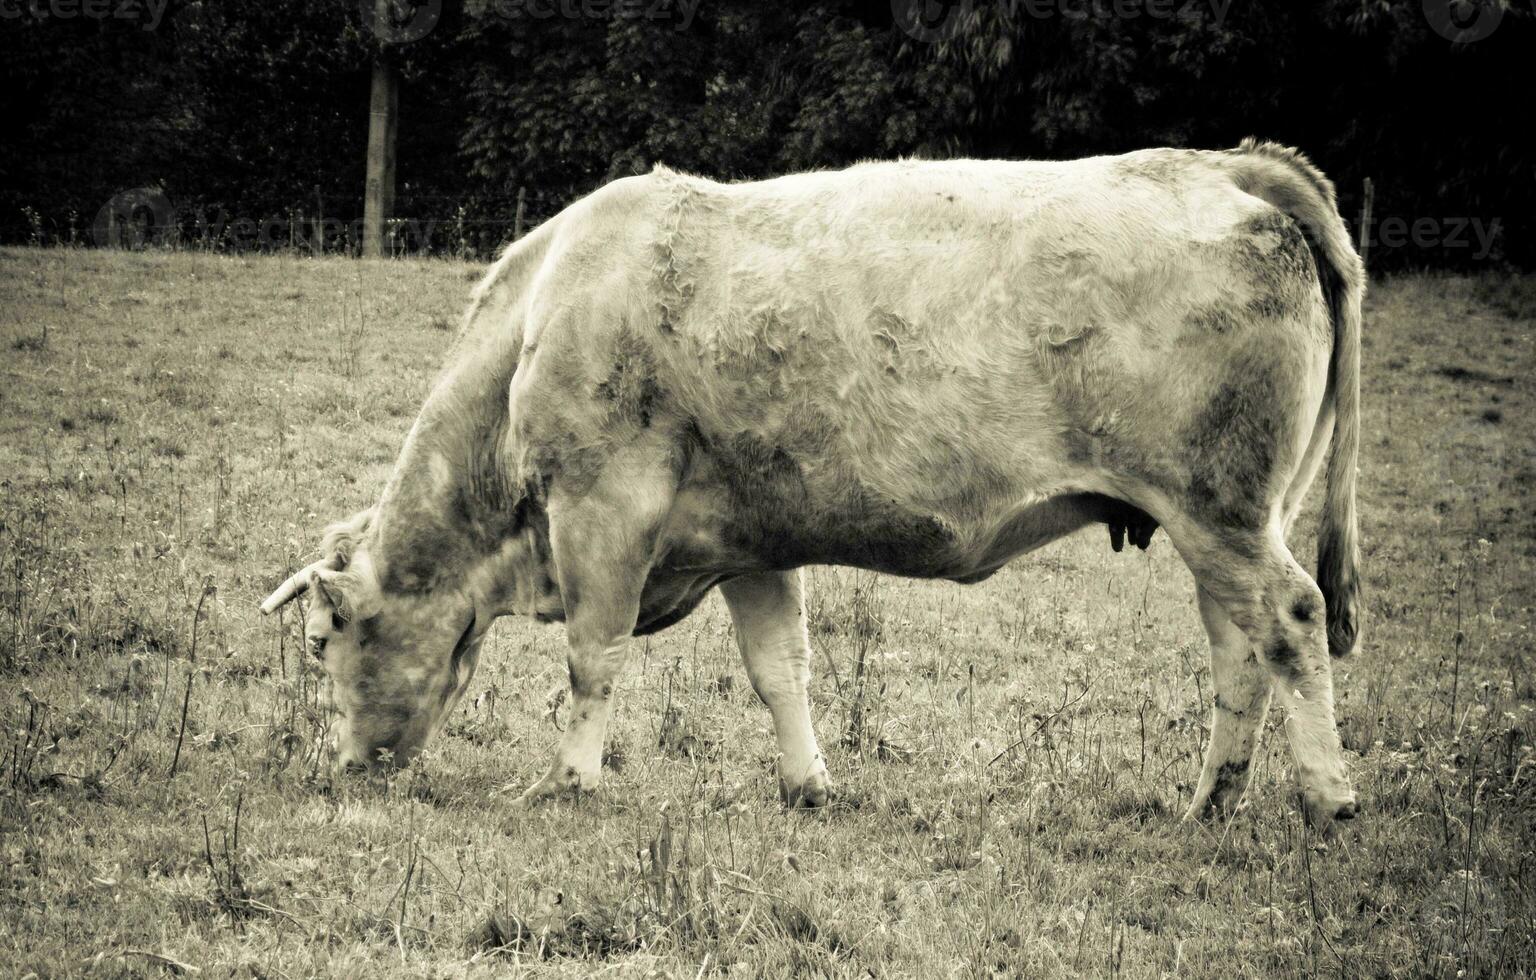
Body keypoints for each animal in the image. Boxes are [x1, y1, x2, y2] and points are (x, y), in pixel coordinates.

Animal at [258, 138, 1363, 823]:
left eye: (321, 642)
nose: (341, 770)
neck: (542, 317)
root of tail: (1230, 166)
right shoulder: (749, 538)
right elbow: (778, 667)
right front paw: (806, 784)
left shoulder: (603, 510)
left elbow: (591, 657)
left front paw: (568, 780)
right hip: (1218, 519)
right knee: (1239, 652)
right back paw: (1209, 801)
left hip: (1220, 508)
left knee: (1291, 617)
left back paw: (1328, 797)